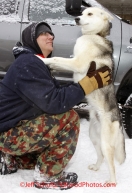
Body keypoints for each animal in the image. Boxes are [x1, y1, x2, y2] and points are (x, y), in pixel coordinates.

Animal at [37, 7, 126, 182]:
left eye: (90, 14)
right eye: (83, 12)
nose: (76, 18)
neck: (95, 35)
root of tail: (118, 119)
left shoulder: (76, 62)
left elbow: (55, 58)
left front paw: (40, 59)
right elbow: (57, 62)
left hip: (105, 143)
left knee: (111, 164)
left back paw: (111, 182)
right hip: (94, 137)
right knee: (101, 157)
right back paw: (96, 167)